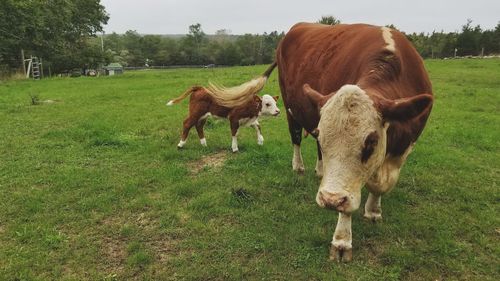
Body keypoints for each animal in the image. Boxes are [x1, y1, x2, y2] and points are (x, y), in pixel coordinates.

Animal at [221, 22, 432, 260]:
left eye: (371, 142)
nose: (329, 199)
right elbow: (348, 204)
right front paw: (342, 242)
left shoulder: (405, 146)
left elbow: (380, 184)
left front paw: (373, 210)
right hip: (290, 109)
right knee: (296, 138)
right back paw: (299, 166)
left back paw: (321, 170)